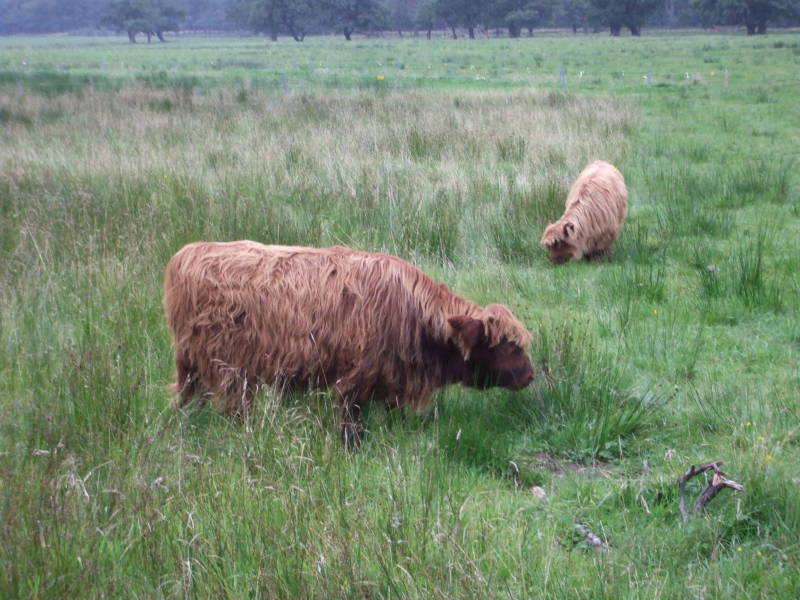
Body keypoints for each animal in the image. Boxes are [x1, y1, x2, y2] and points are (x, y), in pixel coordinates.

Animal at [163, 240, 536, 446]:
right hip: (226, 367)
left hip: (194, 366)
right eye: (510, 347)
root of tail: (187, 253)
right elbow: (352, 424)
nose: (530, 375)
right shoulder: (356, 379)